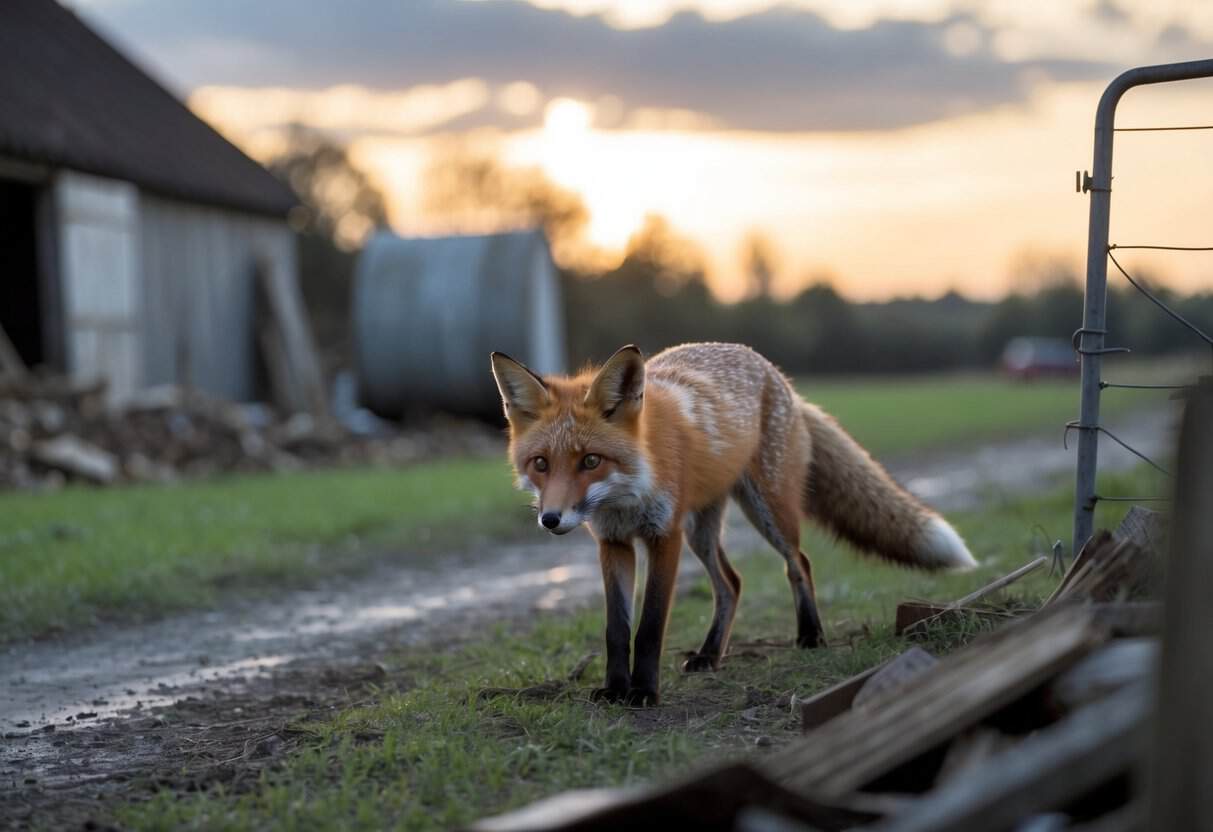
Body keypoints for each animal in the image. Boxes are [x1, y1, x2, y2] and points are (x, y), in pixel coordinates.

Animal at [490, 342, 976, 707]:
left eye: (591, 461)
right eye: (540, 464)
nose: (551, 519)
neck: (627, 495)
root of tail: (778, 375)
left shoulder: (663, 536)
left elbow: (649, 627)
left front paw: (644, 692)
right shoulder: (613, 543)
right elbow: (617, 629)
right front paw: (615, 689)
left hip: (766, 512)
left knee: (798, 563)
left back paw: (810, 634)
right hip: (702, 532)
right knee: (732, 583)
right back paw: (709, 655)